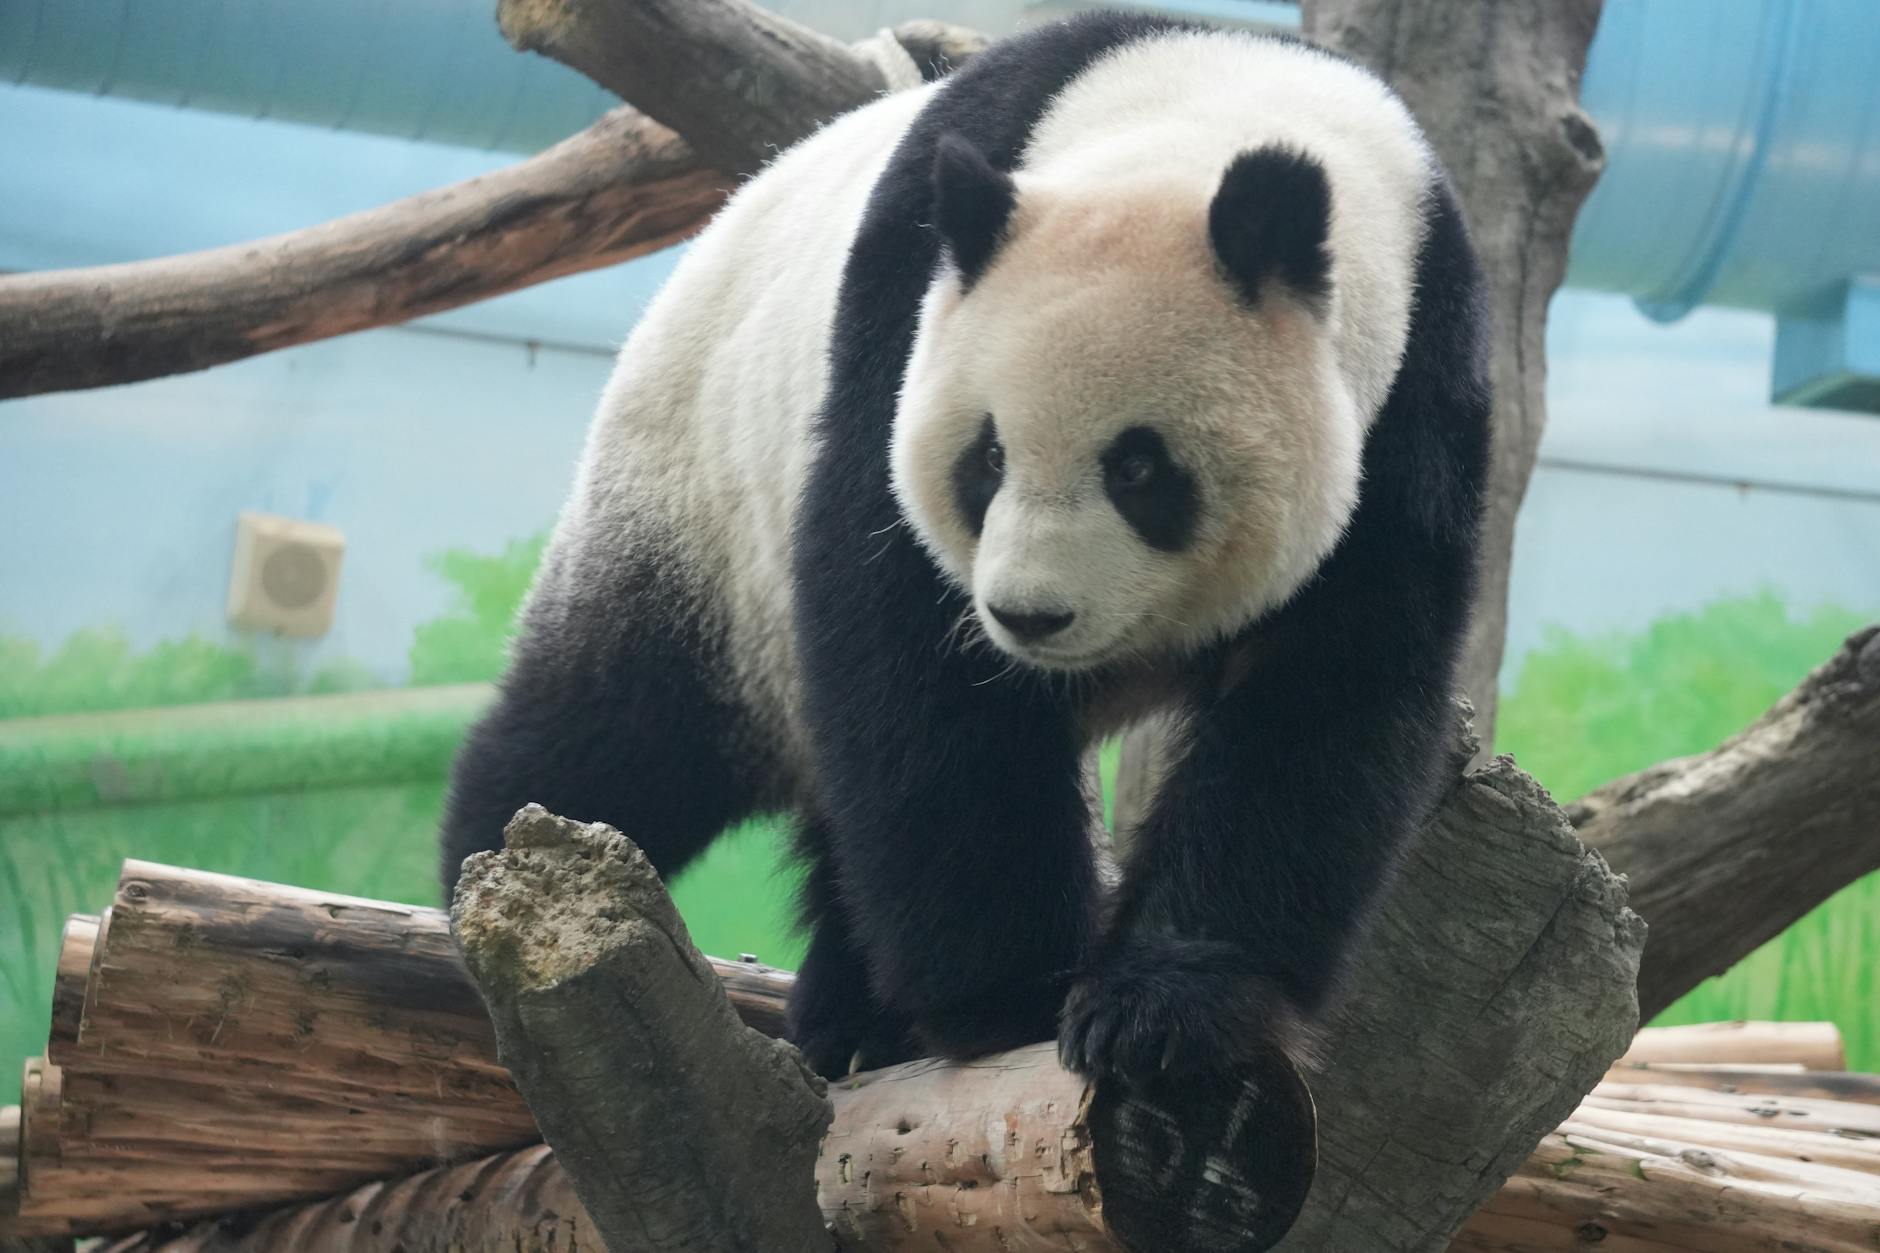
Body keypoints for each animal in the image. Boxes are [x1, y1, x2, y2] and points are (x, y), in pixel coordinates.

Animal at [440, 11, 1489, 1083]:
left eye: (1139, 468)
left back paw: (853, 1015)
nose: (1030, 615)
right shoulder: (905, 314)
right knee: (619, 732)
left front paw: (1169, 1006)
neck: (1211, 114)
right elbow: (916, 669)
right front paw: (1005, 995)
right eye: (987, 456)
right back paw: (491, 875)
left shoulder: (1416, 403)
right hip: (697, 515)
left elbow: (1323, 694)